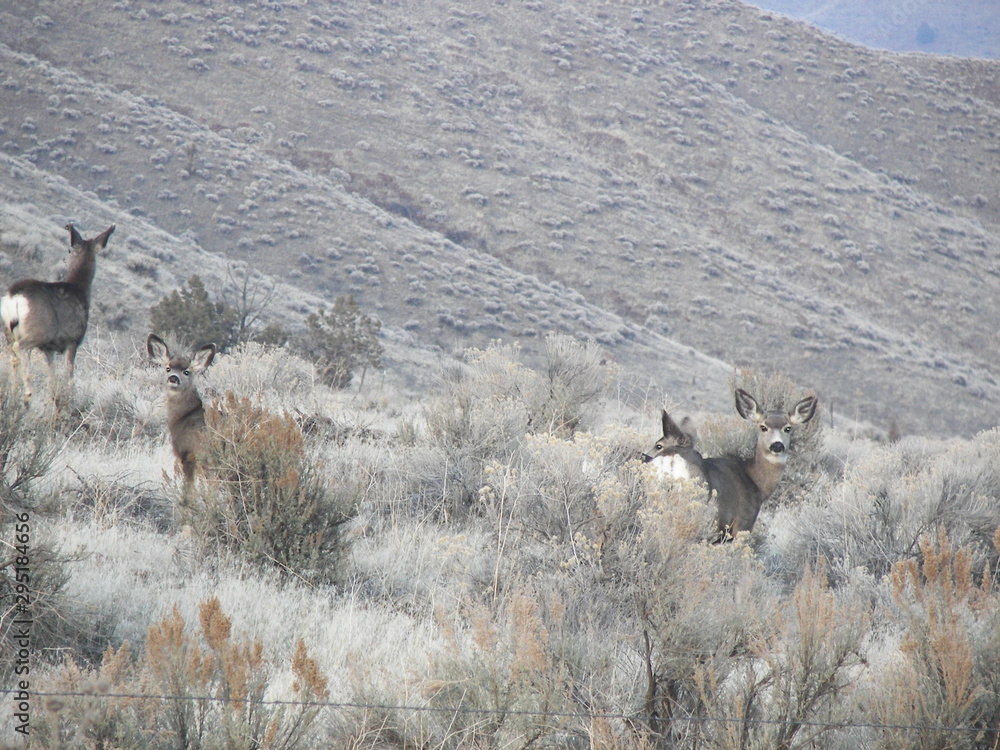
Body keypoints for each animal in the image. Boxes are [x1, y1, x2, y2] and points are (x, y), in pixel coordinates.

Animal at [1, 223, 116, 402]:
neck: (80, 289)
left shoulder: (49, 349)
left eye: (69, 250)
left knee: (12, 355)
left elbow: (52, 378)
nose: (65, 259)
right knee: (19, 347)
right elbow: (69, 373)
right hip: (40, 331)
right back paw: (28, 391)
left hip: (8, 331)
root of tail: (14, 297)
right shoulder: (73, 340)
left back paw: (13, 392)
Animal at [146, 333, 217, 497]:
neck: (182, 417)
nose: (173, 378)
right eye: (168, 368)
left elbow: (189, 488)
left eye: (186, 371)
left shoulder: (187, 452)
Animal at [644, 388, 818, 540]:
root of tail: (671, 460)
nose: (777, 445)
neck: (755, 481)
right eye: (763, 427)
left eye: (787, 428)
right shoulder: (743, 523)